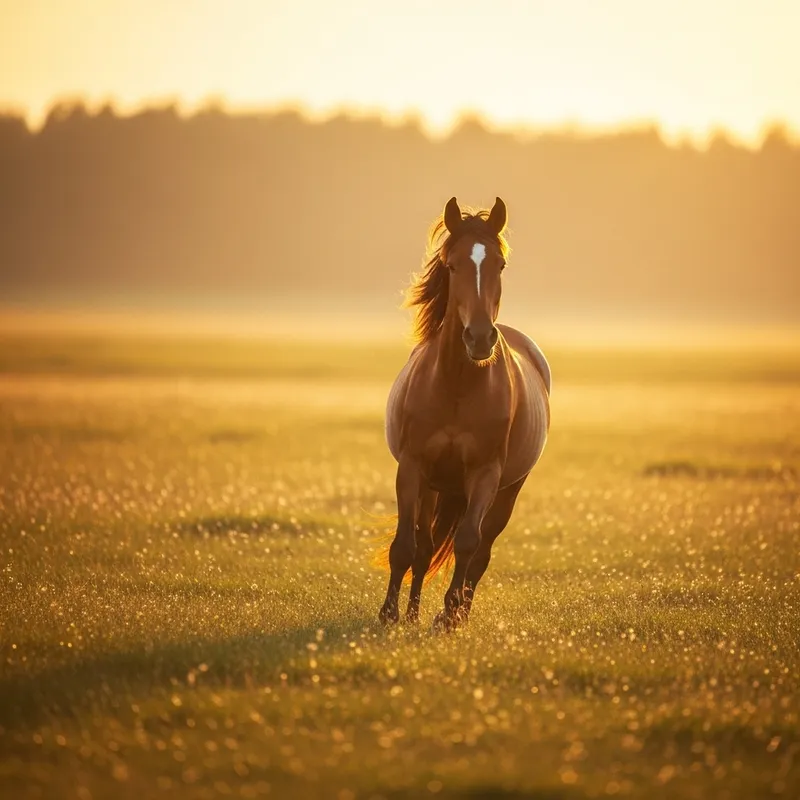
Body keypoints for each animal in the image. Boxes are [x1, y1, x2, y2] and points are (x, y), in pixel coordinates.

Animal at [378, 196, 551, 631]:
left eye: (500, 265)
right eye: (452, 265)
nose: (479, 337)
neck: (456, 384)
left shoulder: (485, 474)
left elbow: (469, 543)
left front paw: (449, 614)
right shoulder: (413, 467)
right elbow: (406, 546)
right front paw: (390, 615)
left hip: (507, 490)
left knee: (482, 550)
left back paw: (457, 612)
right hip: (436, 486)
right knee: (425, 546)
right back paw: (413, 613)